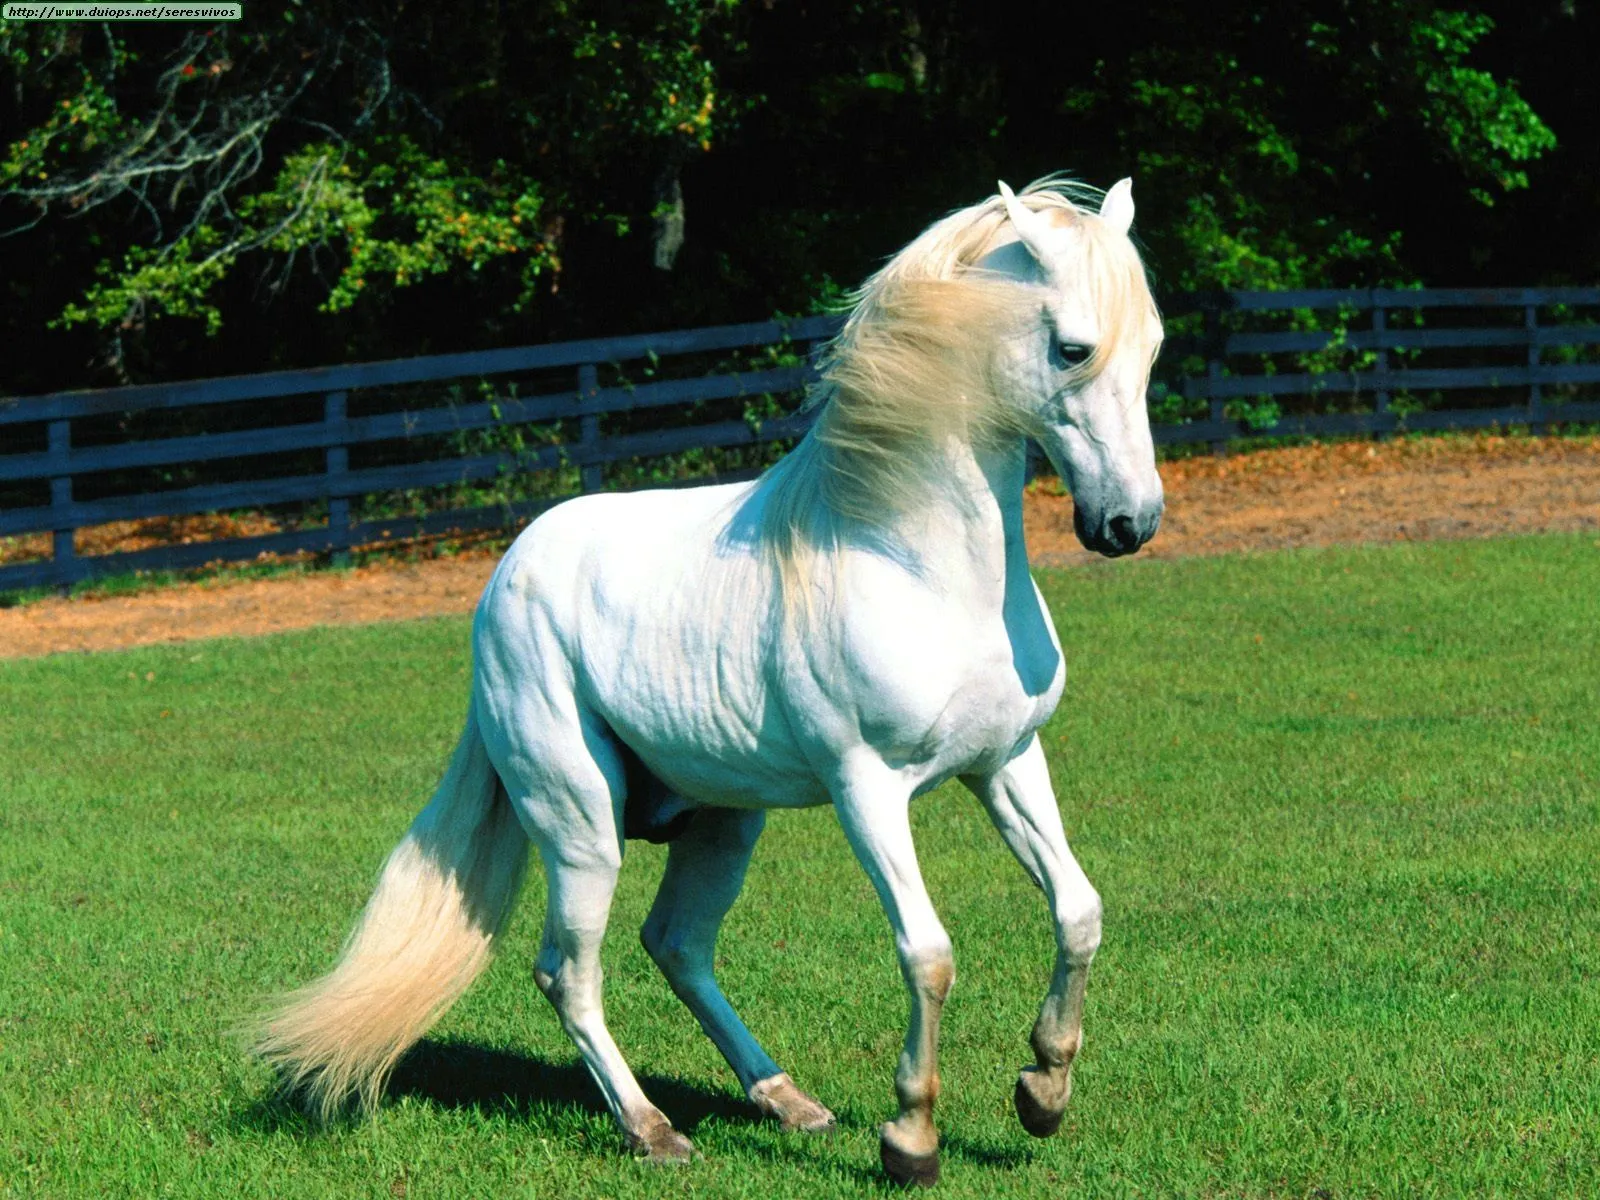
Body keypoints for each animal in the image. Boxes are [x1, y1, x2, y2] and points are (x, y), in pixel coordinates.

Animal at [259, 173, 1164, 1190]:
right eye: (1073, 348)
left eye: (1153, 346)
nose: (1129, 525)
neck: (915, 565)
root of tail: (506, 577)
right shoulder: (868, 790)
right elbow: (927, 953)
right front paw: (911, 1140)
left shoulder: (1006, 762)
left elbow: (1078, 911)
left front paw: (1042, 1093)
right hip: (580, 825)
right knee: (568, 971)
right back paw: (652, 1130)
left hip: (725, 821)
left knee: (678, 944)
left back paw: (787, 1102)